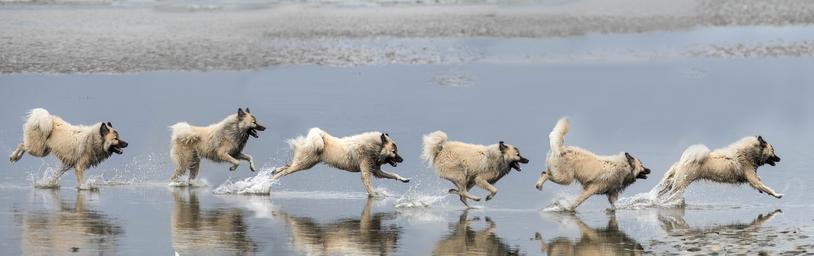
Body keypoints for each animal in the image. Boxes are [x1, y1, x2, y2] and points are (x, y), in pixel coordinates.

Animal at [272, 127, 412, 195]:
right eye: (394, 151)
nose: (402, 159)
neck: (374, 148)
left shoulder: (376, 171)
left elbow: (393, 175)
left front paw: (404, 179)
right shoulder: (366, 171)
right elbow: (369, 185)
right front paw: (375, 195)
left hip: (306, 163)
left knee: (287, 165)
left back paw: (273, 171)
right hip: (304, 164)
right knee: (286, 170)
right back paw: (271, 180)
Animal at [656, 136, 784, 200]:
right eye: (773, 151)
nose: (779, 159)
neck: (748, 153)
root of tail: (682, 162)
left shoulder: (752, 179)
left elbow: (760, 183)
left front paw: (761, 191)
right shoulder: (752, 179)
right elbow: (766, 188)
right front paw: (777, 195)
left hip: (673, 182)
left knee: (663, 189)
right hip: (680, 184)